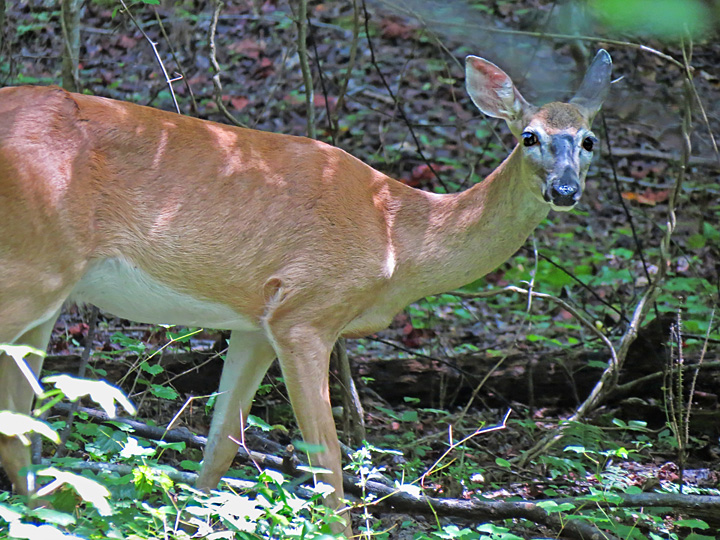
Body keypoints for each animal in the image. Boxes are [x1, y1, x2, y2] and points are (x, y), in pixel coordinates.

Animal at [0, 49, 611, 535]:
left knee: (20, 424)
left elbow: (222, 445)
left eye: (588, 141)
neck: (397, 233)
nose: (564, 190)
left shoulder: (256, 319)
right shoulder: (306, 312)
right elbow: (328, 463)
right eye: (529, 137)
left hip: (47, 291)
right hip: (31, 268)